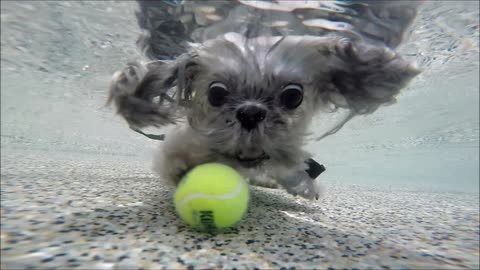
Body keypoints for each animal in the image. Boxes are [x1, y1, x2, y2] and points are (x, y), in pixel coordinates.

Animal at [108, 0, 420, 200]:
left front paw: (303, 186)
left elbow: (293, 168)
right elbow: (178, 154)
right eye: (216, 93)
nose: (250, 113)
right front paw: (182, 166)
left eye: (293, 96)